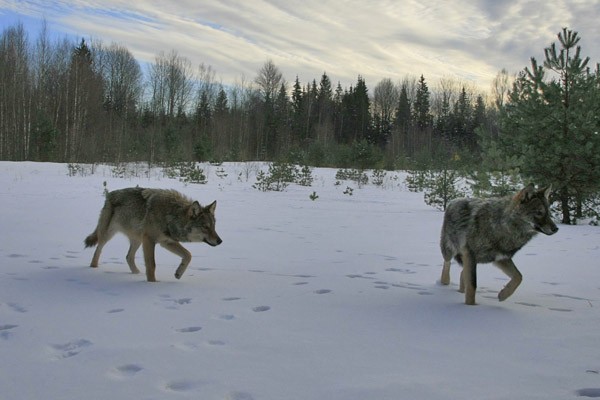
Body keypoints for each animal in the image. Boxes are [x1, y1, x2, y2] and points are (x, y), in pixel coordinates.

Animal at [84, 188, 223, 282]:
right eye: (205, 227)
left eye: (214, 226)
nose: (220, 241)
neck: (170, 215)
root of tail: (109, 194)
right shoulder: (149, 240)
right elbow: (152, 265)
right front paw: (152, 283)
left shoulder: (167, 242)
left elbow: (188, 255)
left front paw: (178, 273)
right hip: (108, 234)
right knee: (98, 249)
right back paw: (93, 268)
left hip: (137, 240)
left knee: (128, 257)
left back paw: (137, 274)